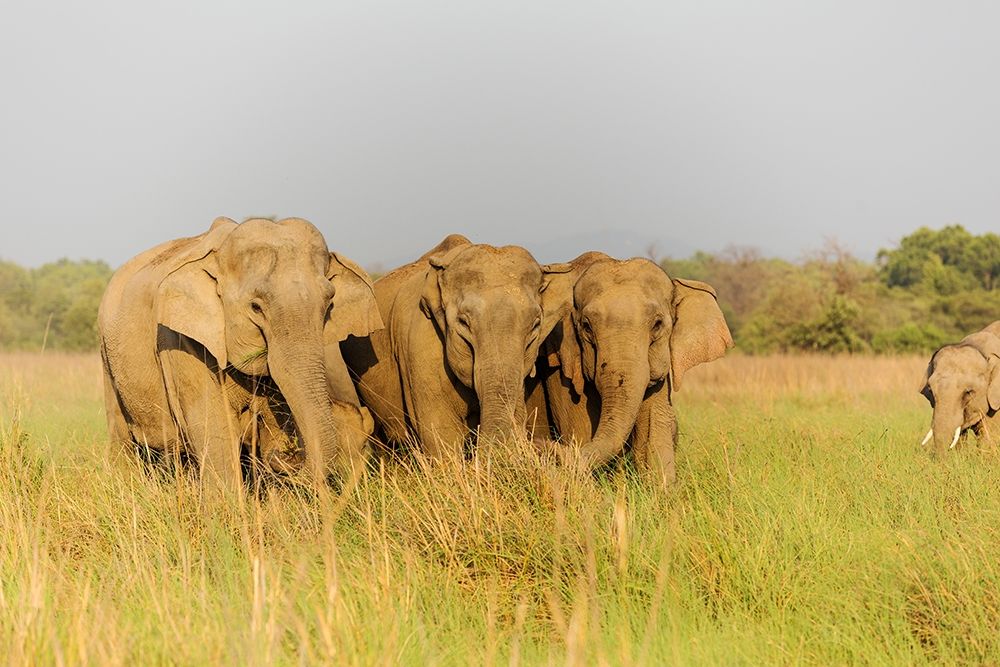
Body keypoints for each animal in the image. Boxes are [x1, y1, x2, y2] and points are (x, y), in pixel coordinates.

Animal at [98, 217, 383, 490]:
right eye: (256, 307)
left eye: (329, 304)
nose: (289, 454)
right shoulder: (177, 337)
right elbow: (212, 427)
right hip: (107, 356)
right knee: (123, 438)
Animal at [531, 252, 733, 486]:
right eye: (586, 327)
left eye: (657, 325)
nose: (539, 446)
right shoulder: (561, 369)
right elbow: (579, 429)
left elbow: (655, 427)